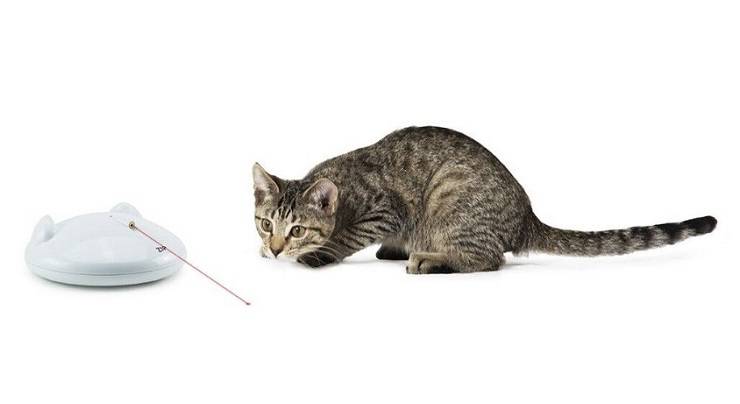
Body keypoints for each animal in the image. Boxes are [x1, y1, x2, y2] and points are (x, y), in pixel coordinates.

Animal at [252, 126, 717, 273]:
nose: (274, 249)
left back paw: (429, 260)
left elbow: (344, 238)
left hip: (448, 196)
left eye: (297, 229)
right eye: (265, 223)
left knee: (489, 259)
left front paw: (315, 255)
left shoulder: (385, 209)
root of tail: (527, 215)